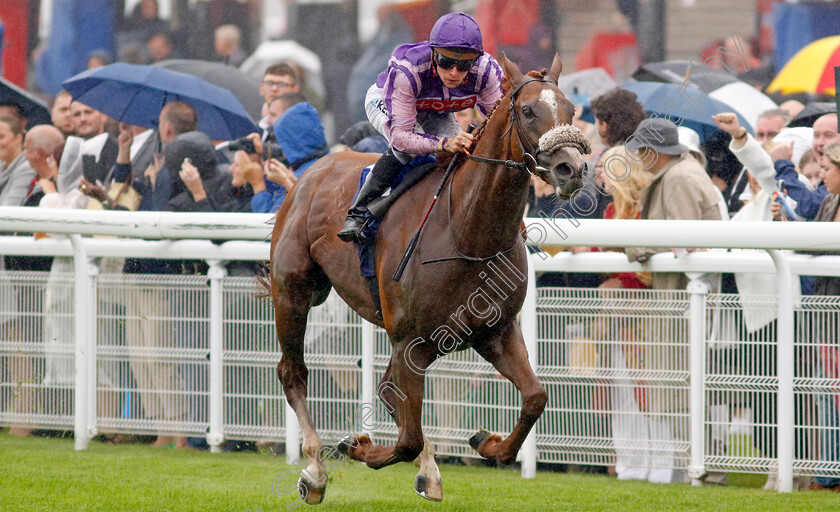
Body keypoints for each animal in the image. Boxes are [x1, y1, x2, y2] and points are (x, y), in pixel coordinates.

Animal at [270, 53, 592, 504]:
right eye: (528, 111)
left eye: (571, 110)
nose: (571, 169)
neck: (468, 230)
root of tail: (310, 171)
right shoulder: (411, 340)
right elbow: (405, 439)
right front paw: (359, 447)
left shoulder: (495, 331)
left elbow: (535, 398)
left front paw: (487, 443)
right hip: (293, 291)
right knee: (294, 372)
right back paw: (315, 471)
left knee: (389, 391)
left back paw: (428, 471)